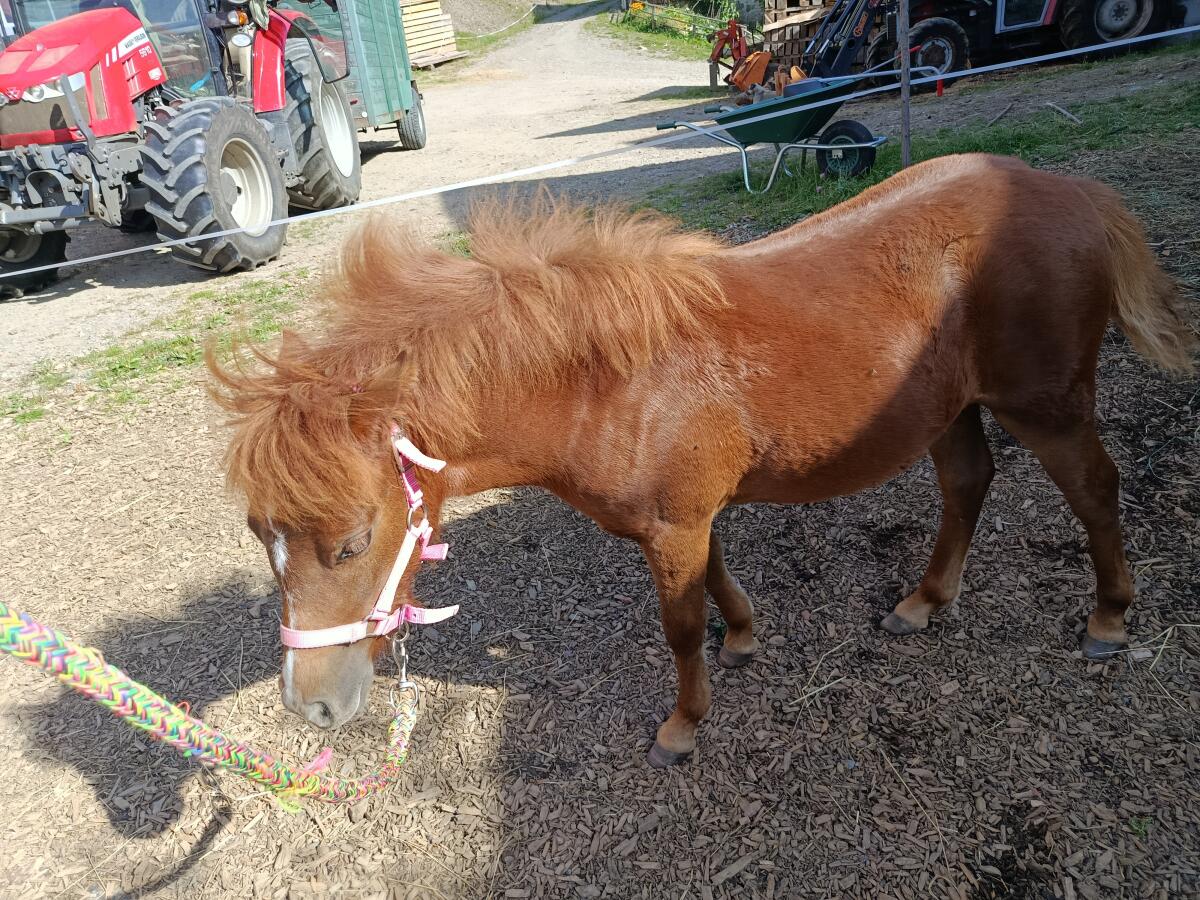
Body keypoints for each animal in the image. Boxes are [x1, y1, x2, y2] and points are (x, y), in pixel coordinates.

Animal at [208, 154, 1195, 768]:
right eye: (264, 543)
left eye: (351, 544)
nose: (311, 706)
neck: (603, 381)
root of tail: (1073, 191)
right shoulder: (685, 519)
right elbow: (718, 580)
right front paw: (747, 637)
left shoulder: (673, 523)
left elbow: (680, 626)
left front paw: (685, 725)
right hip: (948, 410)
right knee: (967, 486)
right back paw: (924, 602)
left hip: (1047, 407)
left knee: (1096, 491)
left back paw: (1109, 619)